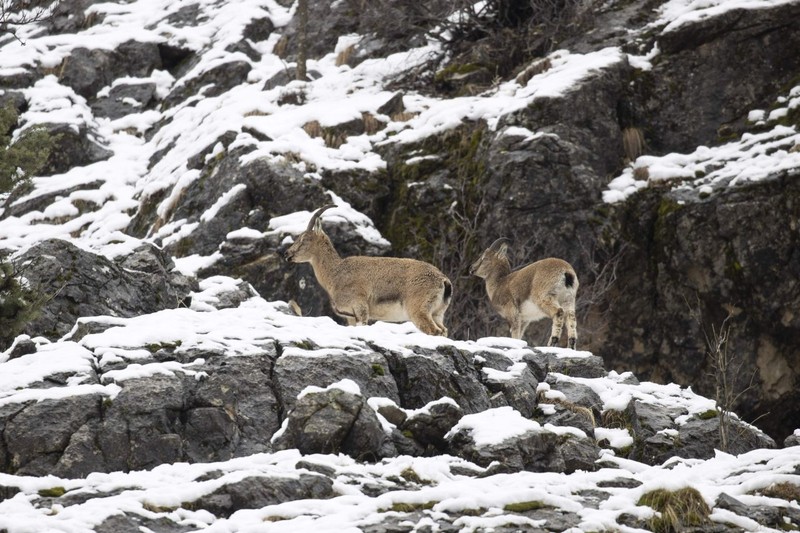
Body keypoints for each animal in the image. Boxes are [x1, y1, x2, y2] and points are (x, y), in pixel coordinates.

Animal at [284, 205, 454, 334]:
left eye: (304, 239)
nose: (287, 254)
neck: (335, 273)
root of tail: (443, 280)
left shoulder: (360, 308)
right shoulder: (350, 316)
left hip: (419, 310)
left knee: (434, 331)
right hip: (438, 313)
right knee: (443, 330)